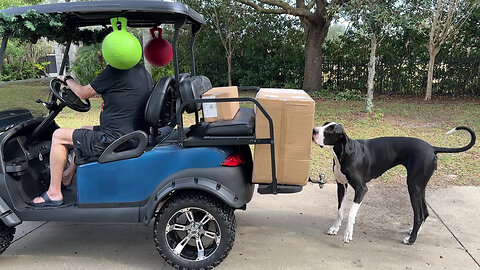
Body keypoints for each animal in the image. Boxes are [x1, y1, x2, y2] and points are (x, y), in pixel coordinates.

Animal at [314, 122, 474, 245]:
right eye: (325, 124)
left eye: (331, 129)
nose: (314, 130)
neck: (345, 152)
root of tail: (432, 148)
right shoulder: (341, 185)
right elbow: (340, 210)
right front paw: (335, 228)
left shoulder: (361, 189)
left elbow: (351, 214)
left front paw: (348, 234)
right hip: (419, 187)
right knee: (425, 212)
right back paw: (415, 233)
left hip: (413, 187)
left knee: (419, 215)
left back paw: (411, 240)